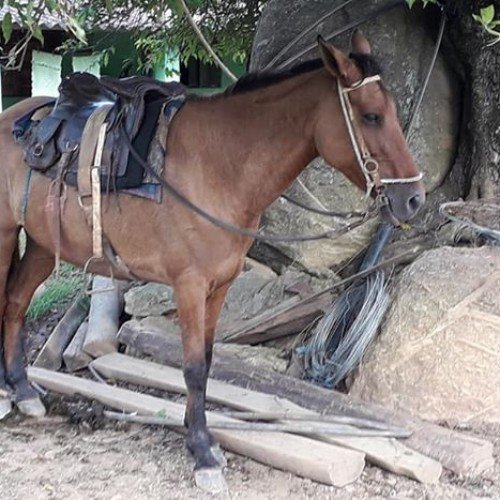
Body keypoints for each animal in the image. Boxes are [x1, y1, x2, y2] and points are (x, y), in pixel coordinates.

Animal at [0, 31, 424, 476]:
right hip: (6, 234)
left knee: (15, 302)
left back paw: (22, 389)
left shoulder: (220, 284)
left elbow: (205, 360)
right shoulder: (188, 284)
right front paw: (202, 451)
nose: (414, 198)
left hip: (43, 244)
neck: (217, 166)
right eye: (371, 116)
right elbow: (192, 366)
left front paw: (197, 433)